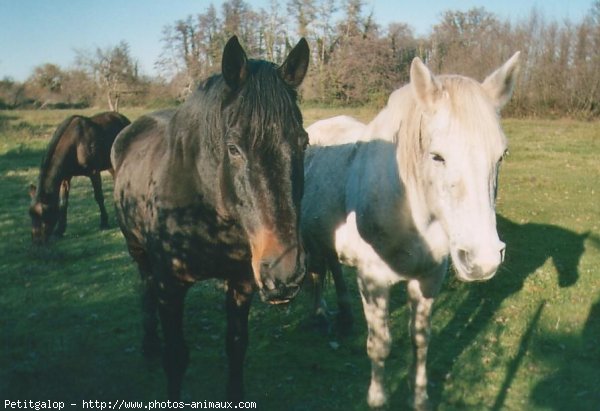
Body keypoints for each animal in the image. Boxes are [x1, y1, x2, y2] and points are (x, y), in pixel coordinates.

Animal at [29, 110, 130, 245]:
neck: (75, 144)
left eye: (44, 213)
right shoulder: (65, 178)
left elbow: (99, 197)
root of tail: (124, 119)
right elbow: (63, 203)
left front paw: (104, 222)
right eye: (31, 214)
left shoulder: (94, 172)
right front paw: (59, 230)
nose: (37, 241)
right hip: (111, 165)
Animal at [111, 36, 310, 402]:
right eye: (233, 148)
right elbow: (176, 357)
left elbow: (236, 345)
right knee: (144, 287)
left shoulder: (242, 282)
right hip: (138, 251)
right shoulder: (170, 287)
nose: (285, 272)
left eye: (303, 142)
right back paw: (149, 344)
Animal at [302, 53, 516, 410]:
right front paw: (377, 399)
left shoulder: (428, 277)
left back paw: (343, 316)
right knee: (316, 271)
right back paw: (319, 316)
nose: (482, 260)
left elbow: (420, 340)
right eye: (437, 156)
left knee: (332, 263)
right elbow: (380, 345)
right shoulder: (373, 281)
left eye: (501, 155)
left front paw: (420, 398)